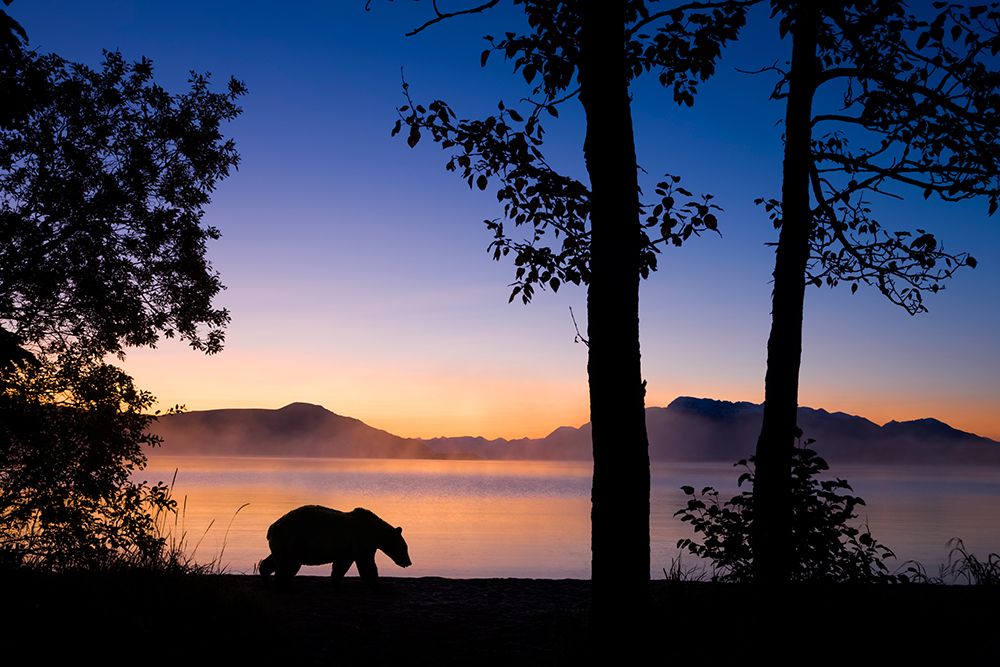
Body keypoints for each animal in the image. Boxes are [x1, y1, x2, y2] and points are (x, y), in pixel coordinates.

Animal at [258, 505, 411, 585]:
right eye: (404, 547)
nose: (408, 562)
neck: (375, 532)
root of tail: (272, 527)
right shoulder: (361, 542)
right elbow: (366, 563)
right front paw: (374, 581)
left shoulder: (349, 549)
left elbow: (342, 564)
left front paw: (336, 578)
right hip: (294, 541)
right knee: (288, 564)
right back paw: (282, 581)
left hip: (283, 543)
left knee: (273, 560)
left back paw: (265, 576)